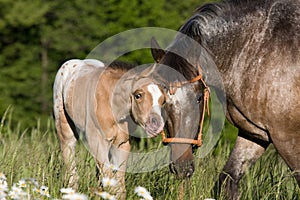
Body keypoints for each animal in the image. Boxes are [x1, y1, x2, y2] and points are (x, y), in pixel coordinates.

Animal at [54, 58, 166, 198]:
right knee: (70, 160)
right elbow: (111, 183)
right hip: (65, 128)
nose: (157, 125)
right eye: (138, 95)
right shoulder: (96, 142)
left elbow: (119, 187)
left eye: (163, 100)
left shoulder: (121, 144)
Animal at [152, 0, 300, 198]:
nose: (182, 167)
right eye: (161, 101)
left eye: (199, 97)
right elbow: (228, 180)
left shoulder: (287, 138)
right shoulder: (254, 133)